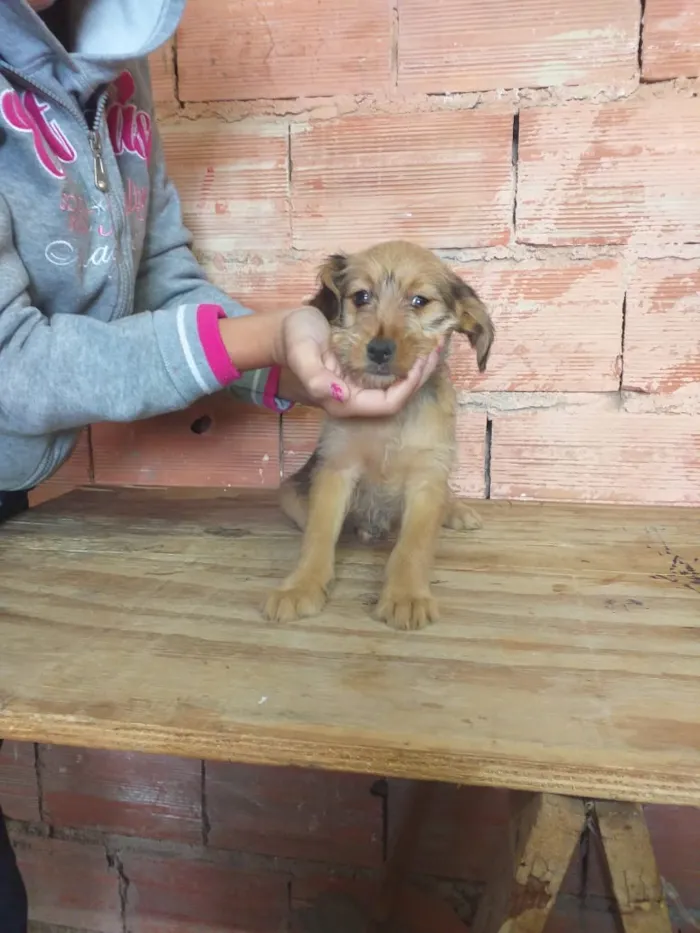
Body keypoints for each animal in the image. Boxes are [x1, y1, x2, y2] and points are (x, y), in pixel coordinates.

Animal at [262, 242, 492, 632]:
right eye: (361, 296)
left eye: (419, 301)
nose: (380, 350)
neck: (388, 422)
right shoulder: (336, 467)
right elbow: (318, 535)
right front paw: (301, 585)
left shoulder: (427, 475)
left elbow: (413, 546)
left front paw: (406, 595)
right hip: (289, 492)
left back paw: (457, 510)